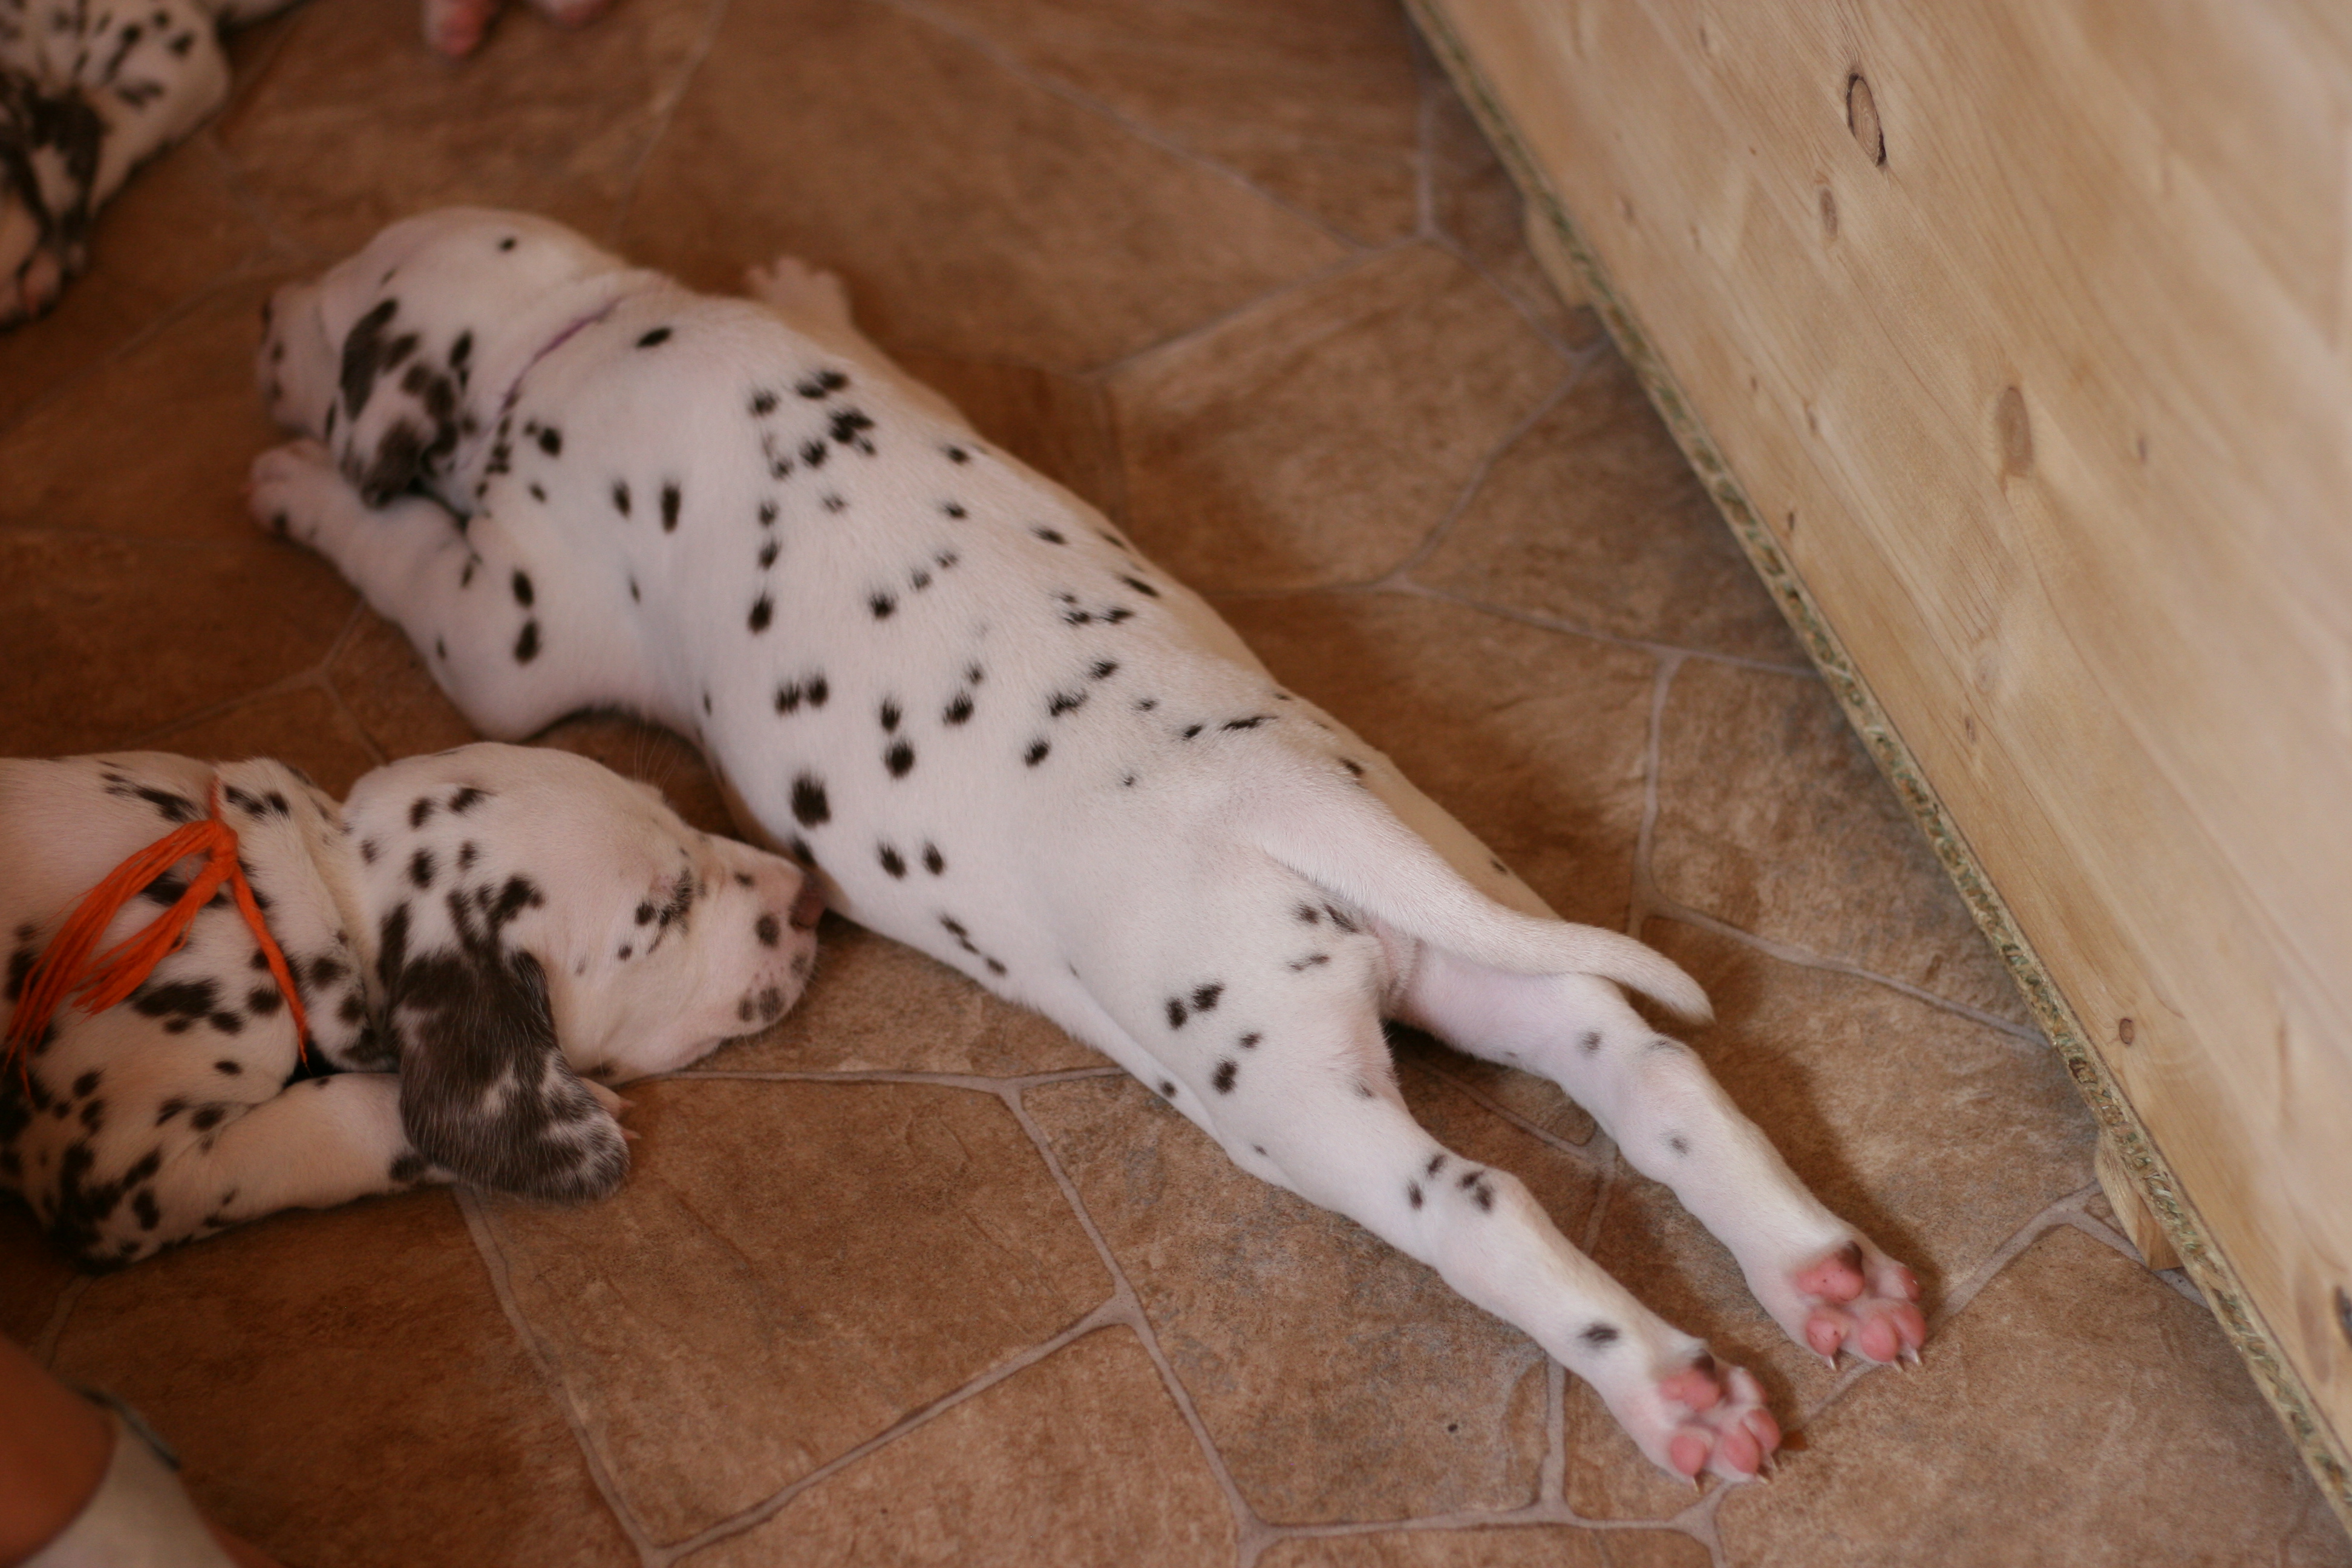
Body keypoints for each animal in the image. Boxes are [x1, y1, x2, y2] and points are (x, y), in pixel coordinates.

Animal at [247, 207, 1927, 1482]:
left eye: (319, 313)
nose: (259, 314)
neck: (597, 331)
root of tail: (1291, 807)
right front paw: (813, 286)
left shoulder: (507, 631)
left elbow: (410, 567)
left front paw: (303, 492)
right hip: (1487, 945)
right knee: (1653, 1075)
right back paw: (1824, 1276)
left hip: (1291, 1101)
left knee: (1485, 1207)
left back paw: (1675, 1389)